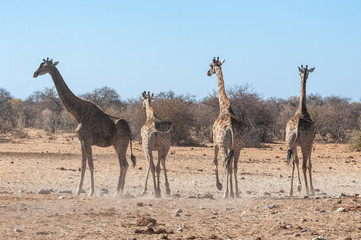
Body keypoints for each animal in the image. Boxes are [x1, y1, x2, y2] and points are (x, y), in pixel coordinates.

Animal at [33, 58, 135, 197]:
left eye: (46, 66)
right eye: (40, 65)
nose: (35, 73)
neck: (78, 113)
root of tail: (130, 132)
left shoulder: (87, 140)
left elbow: (91, 165)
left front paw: (91, 192)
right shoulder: (81, 140)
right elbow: (83, 164)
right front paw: (78, 191)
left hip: (120, 145)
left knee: (123, 165)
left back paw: (117, 193)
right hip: (119, 145)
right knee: (125, 165)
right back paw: (119, 192)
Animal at [207, 57, 243, 198]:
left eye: (210, 65)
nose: (207, 72)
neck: (223, 107)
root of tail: (231, 127)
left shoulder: (214, 142)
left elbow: (214, 161)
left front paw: (220, 186)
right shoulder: (232, 146)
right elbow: (232, 165)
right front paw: (233, 192)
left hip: (223, 143)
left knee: (225, 163)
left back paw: (225, 193)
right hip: (238, 145)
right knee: (234, 165)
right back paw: (236, 193)